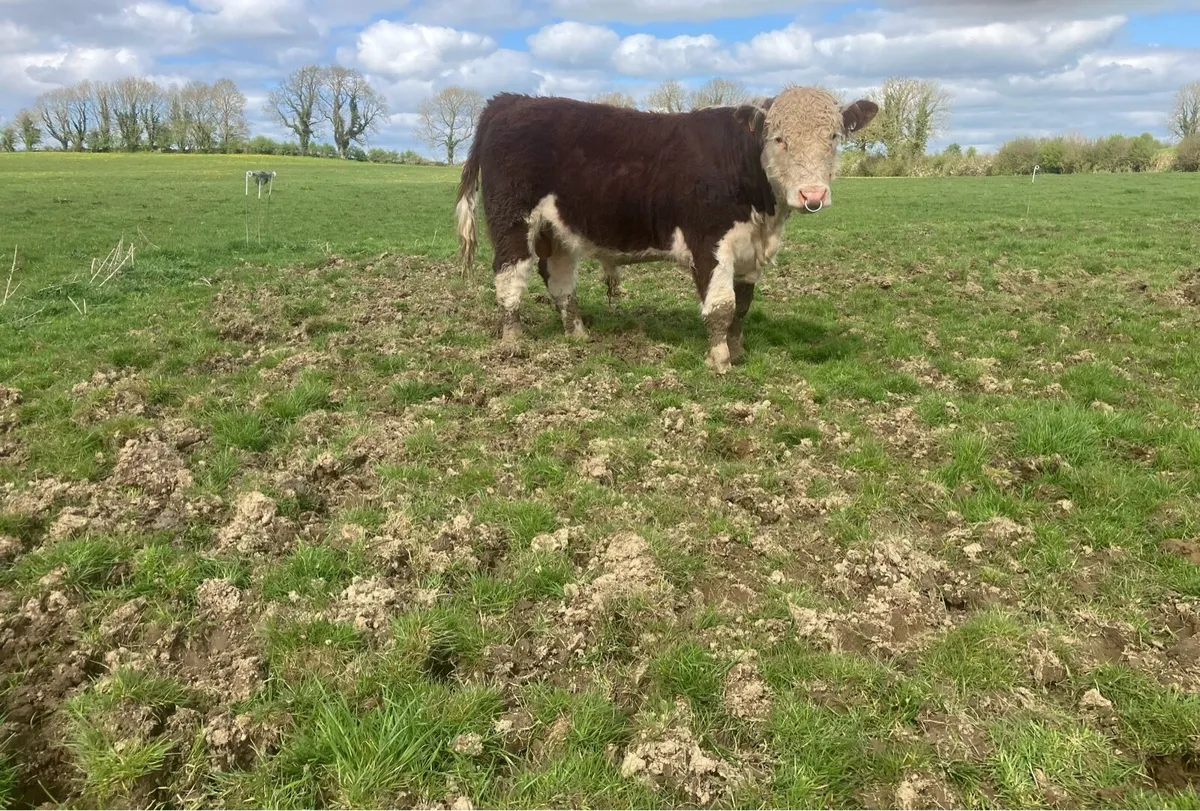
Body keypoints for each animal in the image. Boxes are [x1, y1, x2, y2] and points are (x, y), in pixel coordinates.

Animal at [454, 87, 878, 373]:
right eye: (779, 138)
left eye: (834, 136)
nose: (813, 194)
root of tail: (510, 100)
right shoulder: (710, 243)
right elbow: (721, 308)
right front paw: (719, 360)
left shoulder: (748, 252)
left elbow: (742, 306)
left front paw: (738, 352)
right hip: (512, 220)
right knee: (510, 276)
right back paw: (512, 343)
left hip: (555, 230)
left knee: (559, 280)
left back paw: (577, 333)